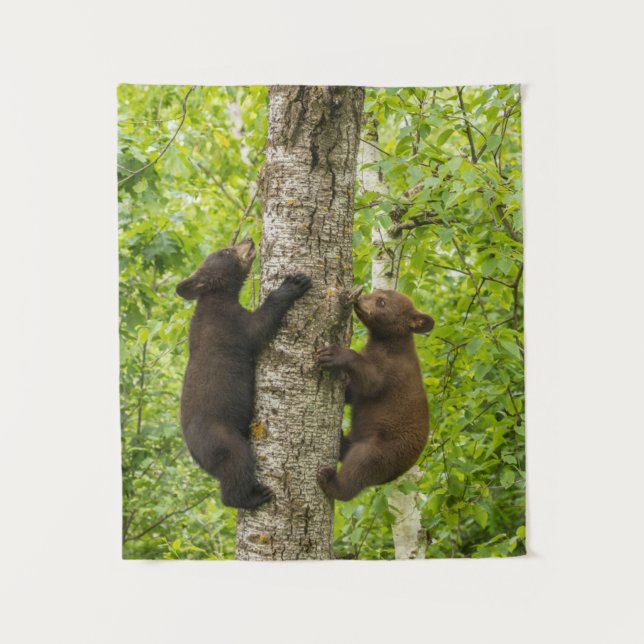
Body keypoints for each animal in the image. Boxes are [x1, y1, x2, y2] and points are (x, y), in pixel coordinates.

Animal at [177, 237, 311, 509]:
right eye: (226, 251)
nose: (248, 239)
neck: (215, 298)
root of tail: (196, 456)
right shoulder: (230, 324)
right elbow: (259, 328)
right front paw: (293, 284)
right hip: (222, 438)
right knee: (236, 465)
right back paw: (253, 496)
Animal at [316, 289, 434, 501]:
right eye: (375, 292)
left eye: (381, 302)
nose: (359, 300)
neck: (388, 343)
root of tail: (394, 476)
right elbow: (353, 392)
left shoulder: (393, 370)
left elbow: (370, 382)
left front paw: (334, 355)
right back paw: (342, 440)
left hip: (384, 450)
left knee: (360, 465)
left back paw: (331, 483)